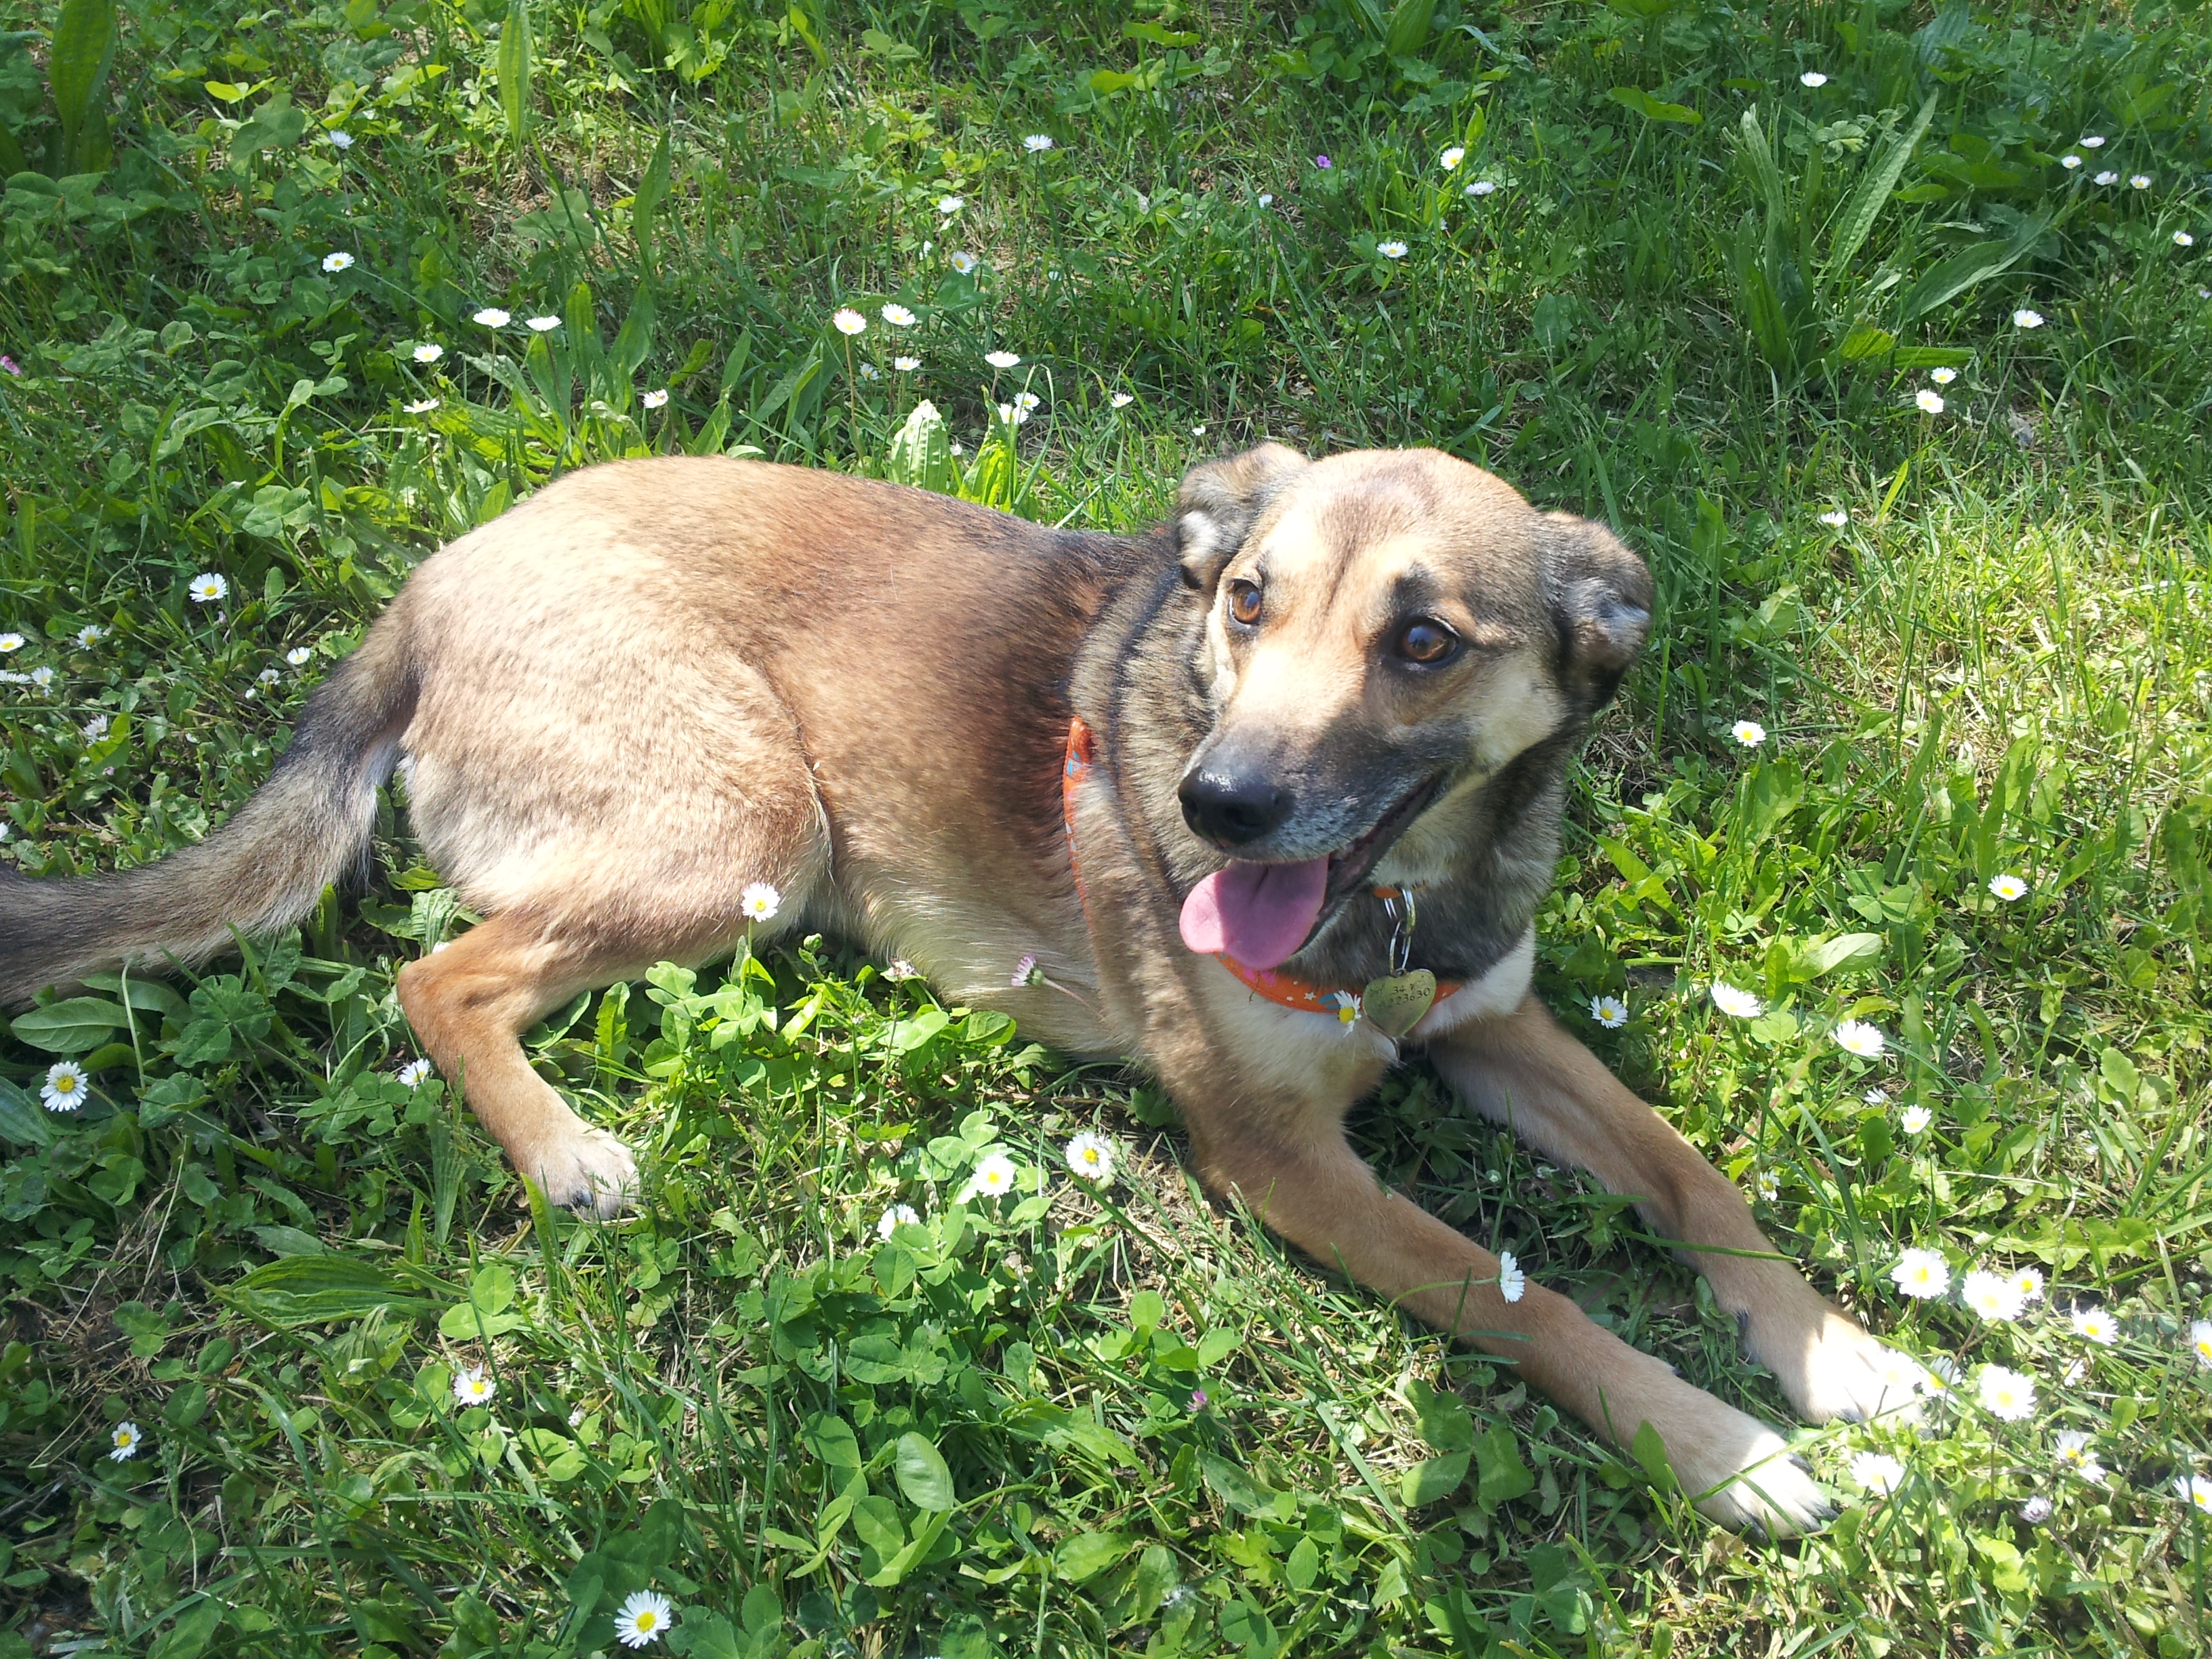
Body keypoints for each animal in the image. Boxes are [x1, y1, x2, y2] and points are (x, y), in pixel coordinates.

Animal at [0, 444, 1923, 1531]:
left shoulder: (1496, 1023)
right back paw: (562, 1150)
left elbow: (1694, 1178)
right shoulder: (1287, 1163)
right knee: (437, 977)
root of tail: (434, 580)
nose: (1217, 804)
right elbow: (1533, 1298)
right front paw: (1728, 1451)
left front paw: (1843, 1356)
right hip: (746, 830)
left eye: (1425, 640)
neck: (1397, 904)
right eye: (1244, 600)